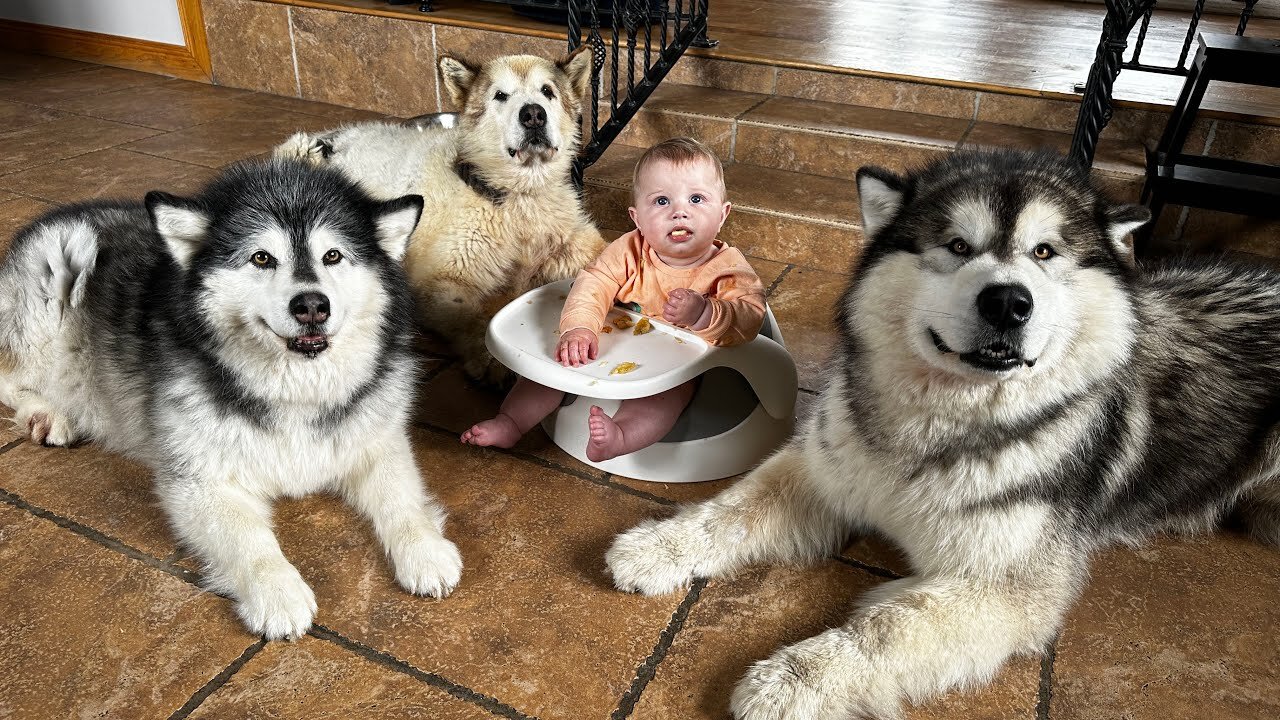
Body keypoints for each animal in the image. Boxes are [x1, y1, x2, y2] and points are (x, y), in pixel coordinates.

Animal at [0, 159, 460, 635]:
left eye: (332, 255)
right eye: (261, 257)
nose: (312, 305)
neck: (295, 391)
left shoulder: (377, 441)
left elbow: (402, 499)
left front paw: (425, 550)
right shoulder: (200, 481)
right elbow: (249, 540)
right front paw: (277, 591)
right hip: (64, 255)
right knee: (9, 374)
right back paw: (46, 413)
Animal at [275, 49, 604, 381]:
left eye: (547, 91)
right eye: (500, 95)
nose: (534, 114)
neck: (517, 199)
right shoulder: (439, 282)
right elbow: (471, 314)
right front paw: (491, 355)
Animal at [604, 148, 1280, 712]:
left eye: (1044, 252)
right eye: (957, 246)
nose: (1008, 301)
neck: (938, 425)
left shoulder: (1006, 591)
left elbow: (883, 629)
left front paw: (789, 681)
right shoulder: (823, 471)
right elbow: (730, 510)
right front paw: (658, 546)